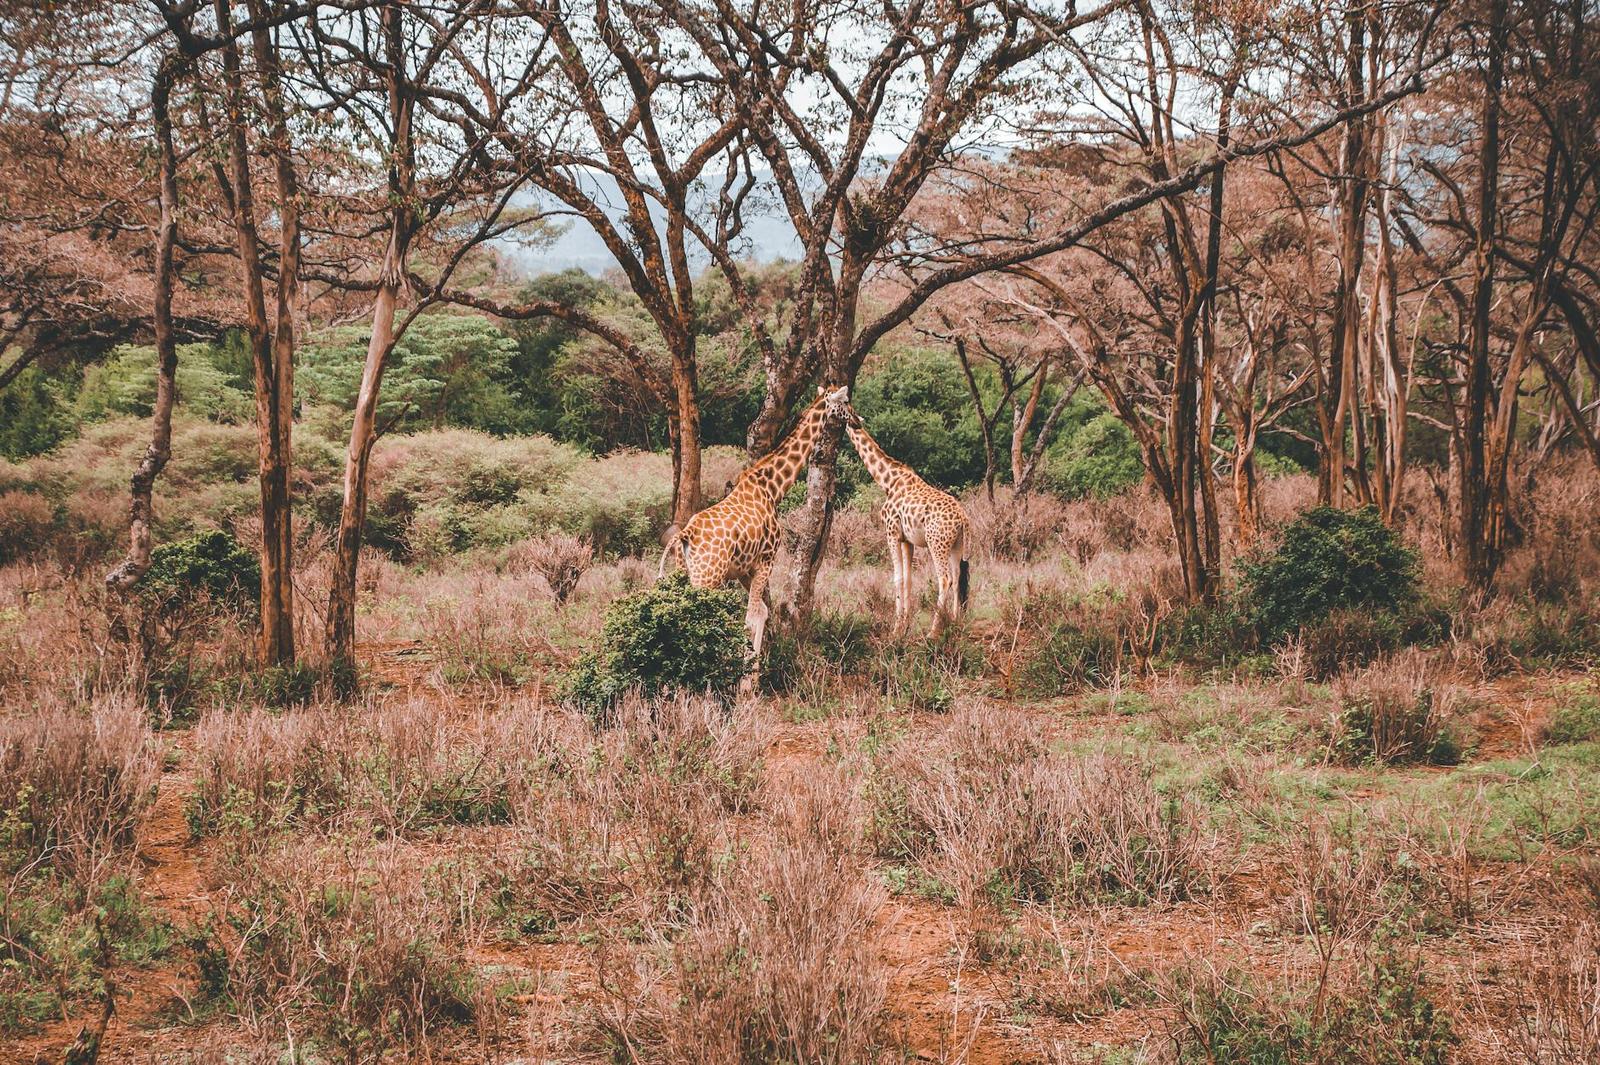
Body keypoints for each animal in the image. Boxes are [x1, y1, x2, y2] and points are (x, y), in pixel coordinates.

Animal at [658, 385, 850, 689]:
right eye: (845, 400)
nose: (857, 419)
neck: (772, 487)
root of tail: (686, 534)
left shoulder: (744, 570)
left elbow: (760, 612)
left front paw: (752, 678)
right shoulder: (766, 559)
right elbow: (751, 616)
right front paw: (747, 686)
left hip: (685, 571)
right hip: (707, 576)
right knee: (693, 617)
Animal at [842, 404, 971, 638]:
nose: (852, 422)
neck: (888, 481)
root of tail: (963, 518)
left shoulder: (891, 533)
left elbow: (897, 578)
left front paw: (895, 629)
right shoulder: (907, 540)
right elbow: (908, 579)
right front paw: (905, 625)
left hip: (937, 543)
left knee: (944, 579)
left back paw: (934, 631)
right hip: (956, 545)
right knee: (957, 578)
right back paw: (956, 625)